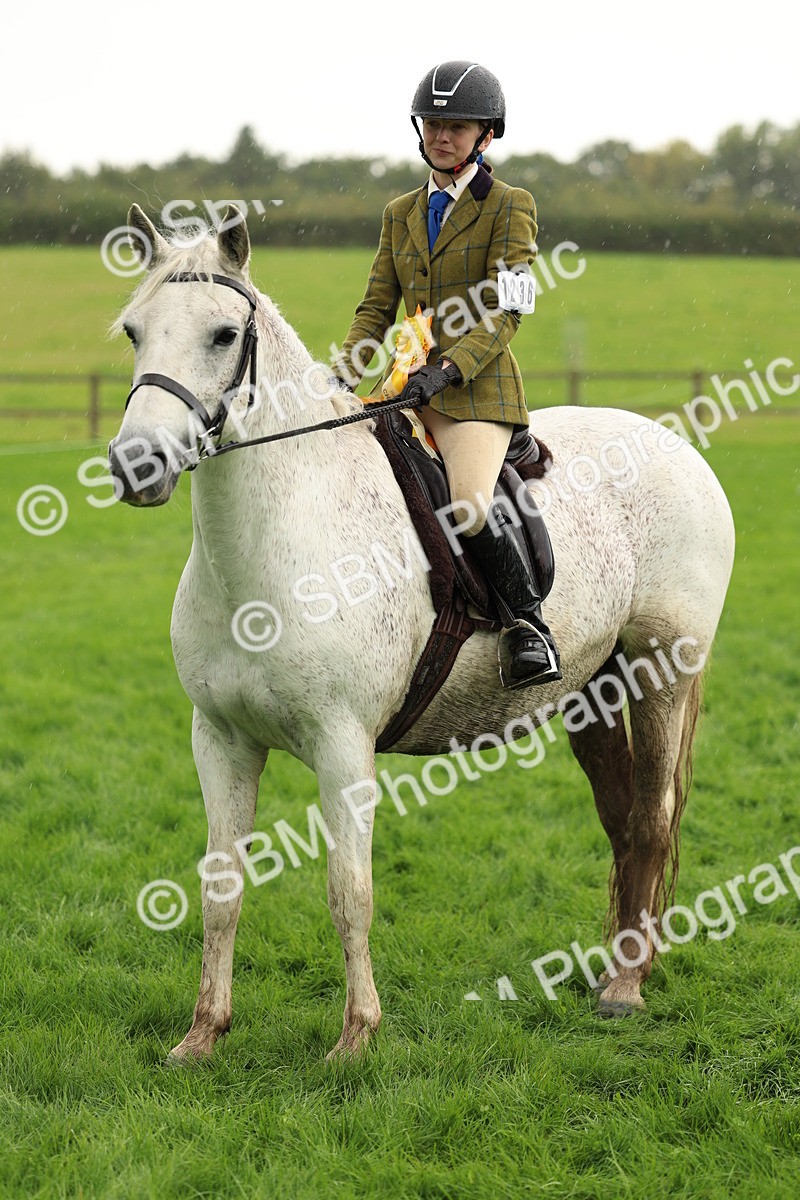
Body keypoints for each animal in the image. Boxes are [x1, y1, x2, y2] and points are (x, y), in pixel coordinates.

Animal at [108, 205, 735, 1063]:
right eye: (134, 330)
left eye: (223, 335)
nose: (136, 465)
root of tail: (675, 445)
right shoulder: (221, 738)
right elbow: (220, 887)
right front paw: (203, 1034)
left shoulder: (343, 747)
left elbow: (349, 891)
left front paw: (356, 1039)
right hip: (594, 687)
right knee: (620, 821)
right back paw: (616, 965)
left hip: (661, 672)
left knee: (650, 820)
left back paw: (625, 989)